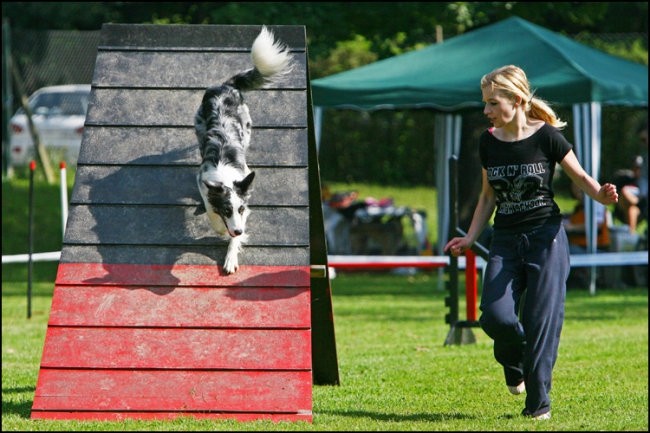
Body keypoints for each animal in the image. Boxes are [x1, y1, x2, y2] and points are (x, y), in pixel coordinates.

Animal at [194, 25, 292, 274]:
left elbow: (234, 240)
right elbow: (211, 210)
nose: (237, 230)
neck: (224, 175)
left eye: (239, 210)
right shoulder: (202, 181)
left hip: (246, 128)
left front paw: (230, 259)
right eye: (227, 210)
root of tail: (226, 85)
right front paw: (220, 226)